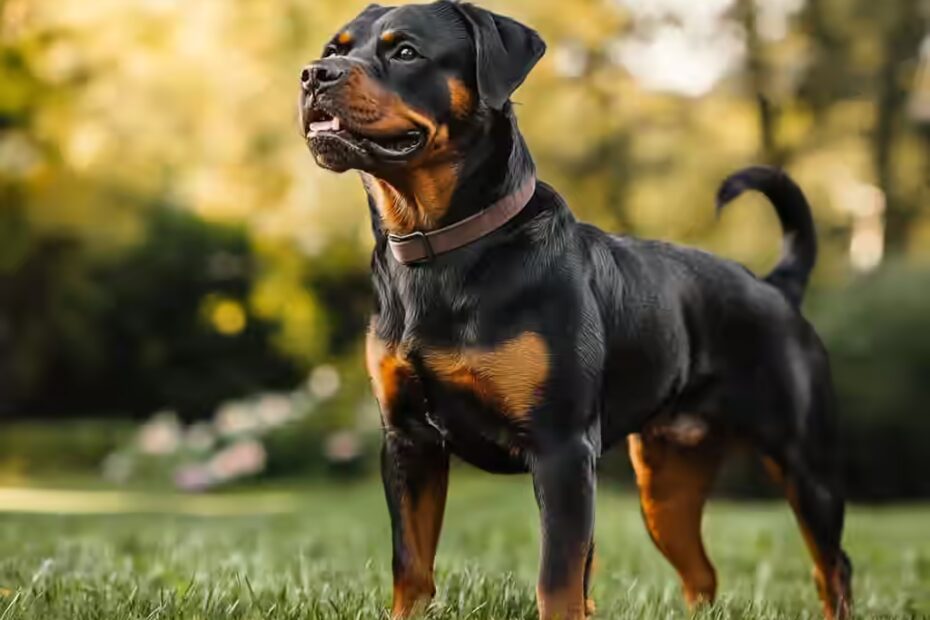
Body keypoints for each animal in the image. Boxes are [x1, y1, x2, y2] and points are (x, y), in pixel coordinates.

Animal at [300, 2, 852, 616]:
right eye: (333, 49)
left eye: (405, 52)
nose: (314, 75)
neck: (440, 251)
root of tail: (777, 286)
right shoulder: (408, 443)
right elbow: (411, 567)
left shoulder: (562, 448)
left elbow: (559, 578)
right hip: (665, 484)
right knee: (701, 571)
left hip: (804, 462)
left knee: (832, 567)